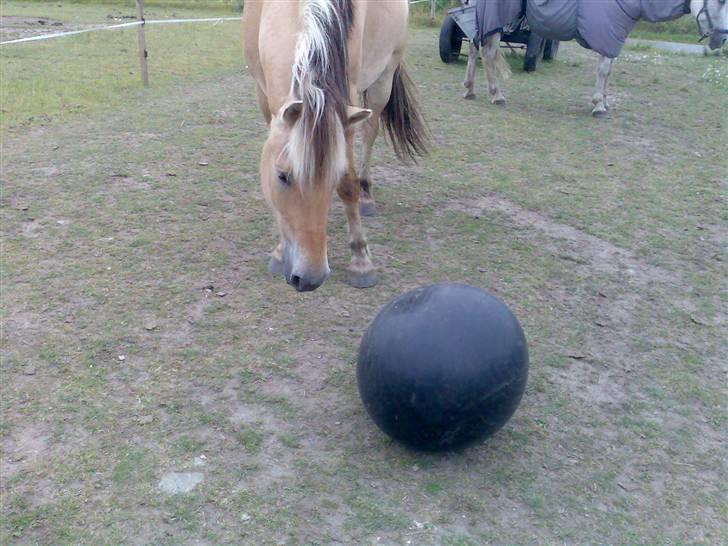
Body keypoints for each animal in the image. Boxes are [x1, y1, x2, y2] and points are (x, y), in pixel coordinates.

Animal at [243, 0, 426, 292]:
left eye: (334, 176)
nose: (310, 278)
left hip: (383, 78)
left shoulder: (345, 106)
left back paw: (366, 194)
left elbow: (348, 184)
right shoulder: (263, 95)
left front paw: (361, 260)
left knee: (370, 132)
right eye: (282, 176)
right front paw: (280, 251)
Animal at [466, 0, 728, 115]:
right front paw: (598, 104)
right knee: (487, 54)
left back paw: (470, 89)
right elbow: (603, 69)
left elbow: (609, 71)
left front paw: (605, 101)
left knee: (473, 48)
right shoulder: (608, 36)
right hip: (495, 21)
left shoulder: (614, 38)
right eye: (719, 2)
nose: (722, 40)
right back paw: (496, 95)